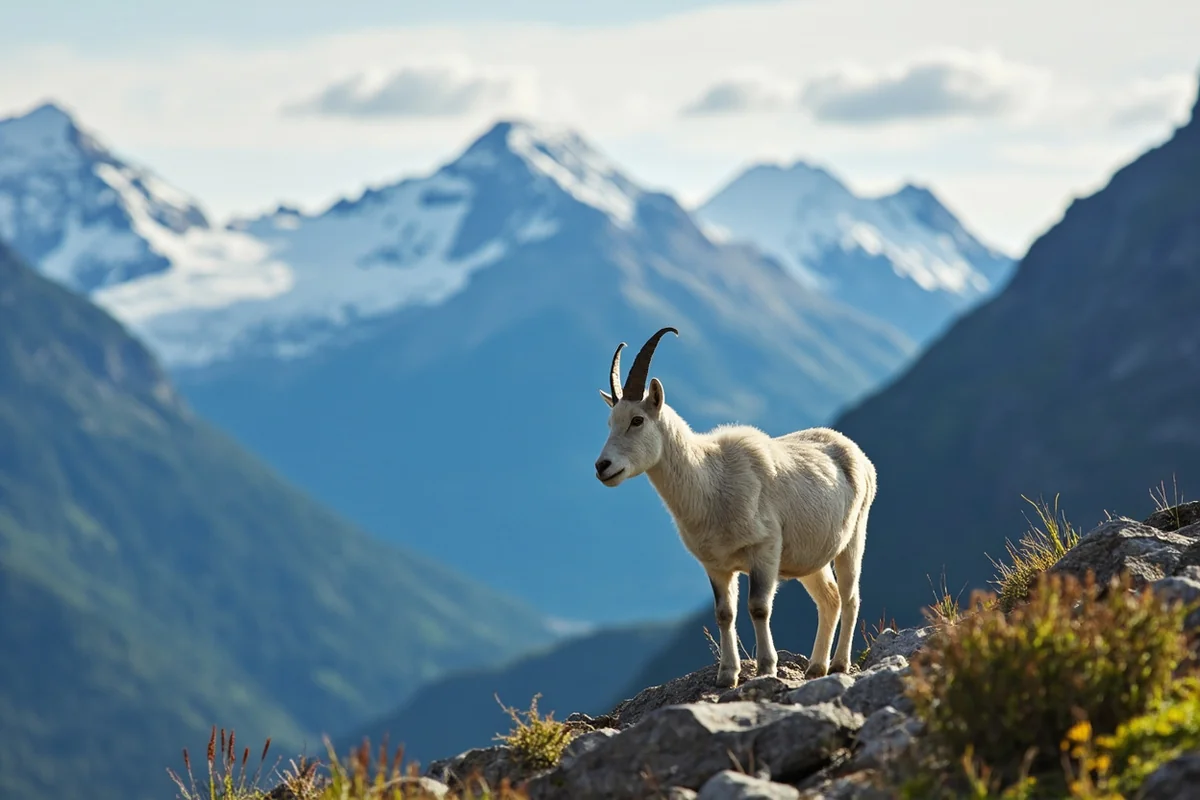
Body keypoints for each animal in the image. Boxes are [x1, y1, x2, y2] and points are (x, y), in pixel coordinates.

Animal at [593, 326, 877, 687]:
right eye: (609, 422)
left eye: (637, 420)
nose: (603, 467)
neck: (711, 481)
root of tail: (859, 457)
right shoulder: (716, 565)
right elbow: (724, 613)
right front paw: (727, 675)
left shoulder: (765, 550)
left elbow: (758, 607)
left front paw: (766, 667)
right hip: (811, 559)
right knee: (830, 598)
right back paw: (816, 667)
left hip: (854, 538)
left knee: (851, 596)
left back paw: (839, 664)